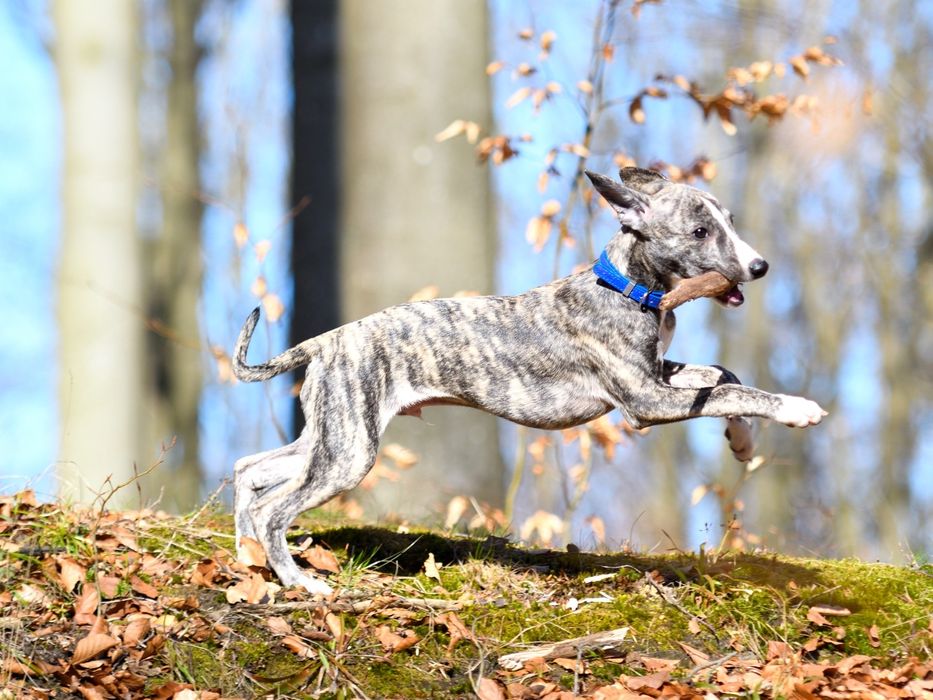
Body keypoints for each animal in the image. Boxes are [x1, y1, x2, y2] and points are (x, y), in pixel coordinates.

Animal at [230, 167, 826, 594]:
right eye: (701, 232)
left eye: (730, 220)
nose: (760, 267)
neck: (628, 287)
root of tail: (326, 340)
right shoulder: (644, 402)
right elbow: (727, 388)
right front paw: (796, 409)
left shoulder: (659, 375)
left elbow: (724, 374)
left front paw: (743, 441)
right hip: (350, 452)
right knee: (272, 507)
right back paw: (298, 581)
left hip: (332, 436)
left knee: (249, 472)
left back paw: (248, 564)